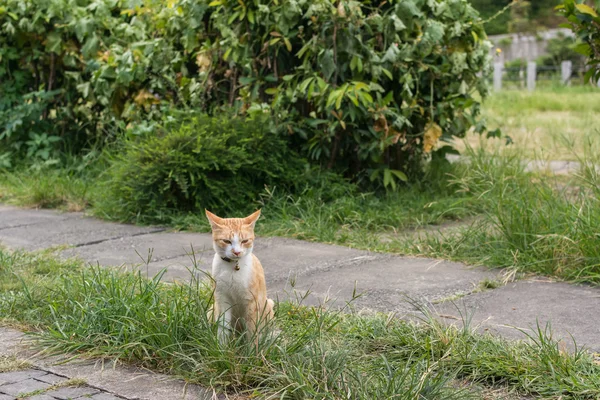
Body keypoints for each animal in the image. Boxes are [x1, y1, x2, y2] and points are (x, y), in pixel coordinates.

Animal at [204, 209, 274, 344]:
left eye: (244, 241)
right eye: (226, 241)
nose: (237, 252)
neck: (233, 267)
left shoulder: (252, 303)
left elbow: (252, 332)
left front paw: (252, 349)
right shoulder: (222, 300)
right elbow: (223, 328)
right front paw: (221, 347)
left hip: (267, 306)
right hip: (212, 309)